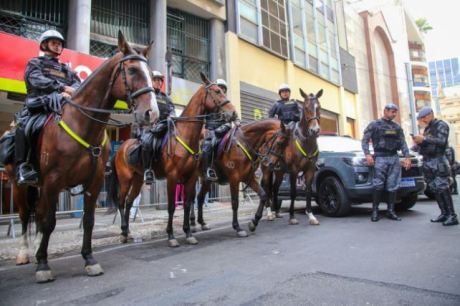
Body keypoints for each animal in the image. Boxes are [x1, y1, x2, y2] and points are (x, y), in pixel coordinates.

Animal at [3, 31, 159, 282]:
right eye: (133, 70)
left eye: (150, 73)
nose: (151, 113)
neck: (83, 124)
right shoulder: (53, 181)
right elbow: (50, 221)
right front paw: (43, 265)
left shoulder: (93, 182)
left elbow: (88, 221)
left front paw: (89, 259)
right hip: (21, 184)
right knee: (27, 214)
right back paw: (25, 252)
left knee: (38, 213)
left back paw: (37, 246)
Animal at [108, 73, 237, 247]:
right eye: (217, 91)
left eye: (222, 90)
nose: (233, 113)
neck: (185, 136)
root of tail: (121, 148)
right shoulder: (172, 177)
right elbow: (171, 207)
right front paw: (171, 236)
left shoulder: (190, 177)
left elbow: (188, 204)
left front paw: (188, 232)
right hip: (125, 179)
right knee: (121, 202)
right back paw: (122, 232)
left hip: (137, 180)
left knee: (129, 202)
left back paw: (128, 231)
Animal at [250, 87, 322, 231]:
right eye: (306, 107)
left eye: (319, 107)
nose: (315, 130)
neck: (306, 142)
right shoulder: (294, 171)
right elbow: (293, 192)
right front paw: (292, 216)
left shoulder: (310, 170)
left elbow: (308, 191)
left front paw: (311, 216)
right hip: (267, 170)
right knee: (267, 188)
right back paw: (269, 213)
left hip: (279, 172)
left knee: (275, 188)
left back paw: (276, 212)